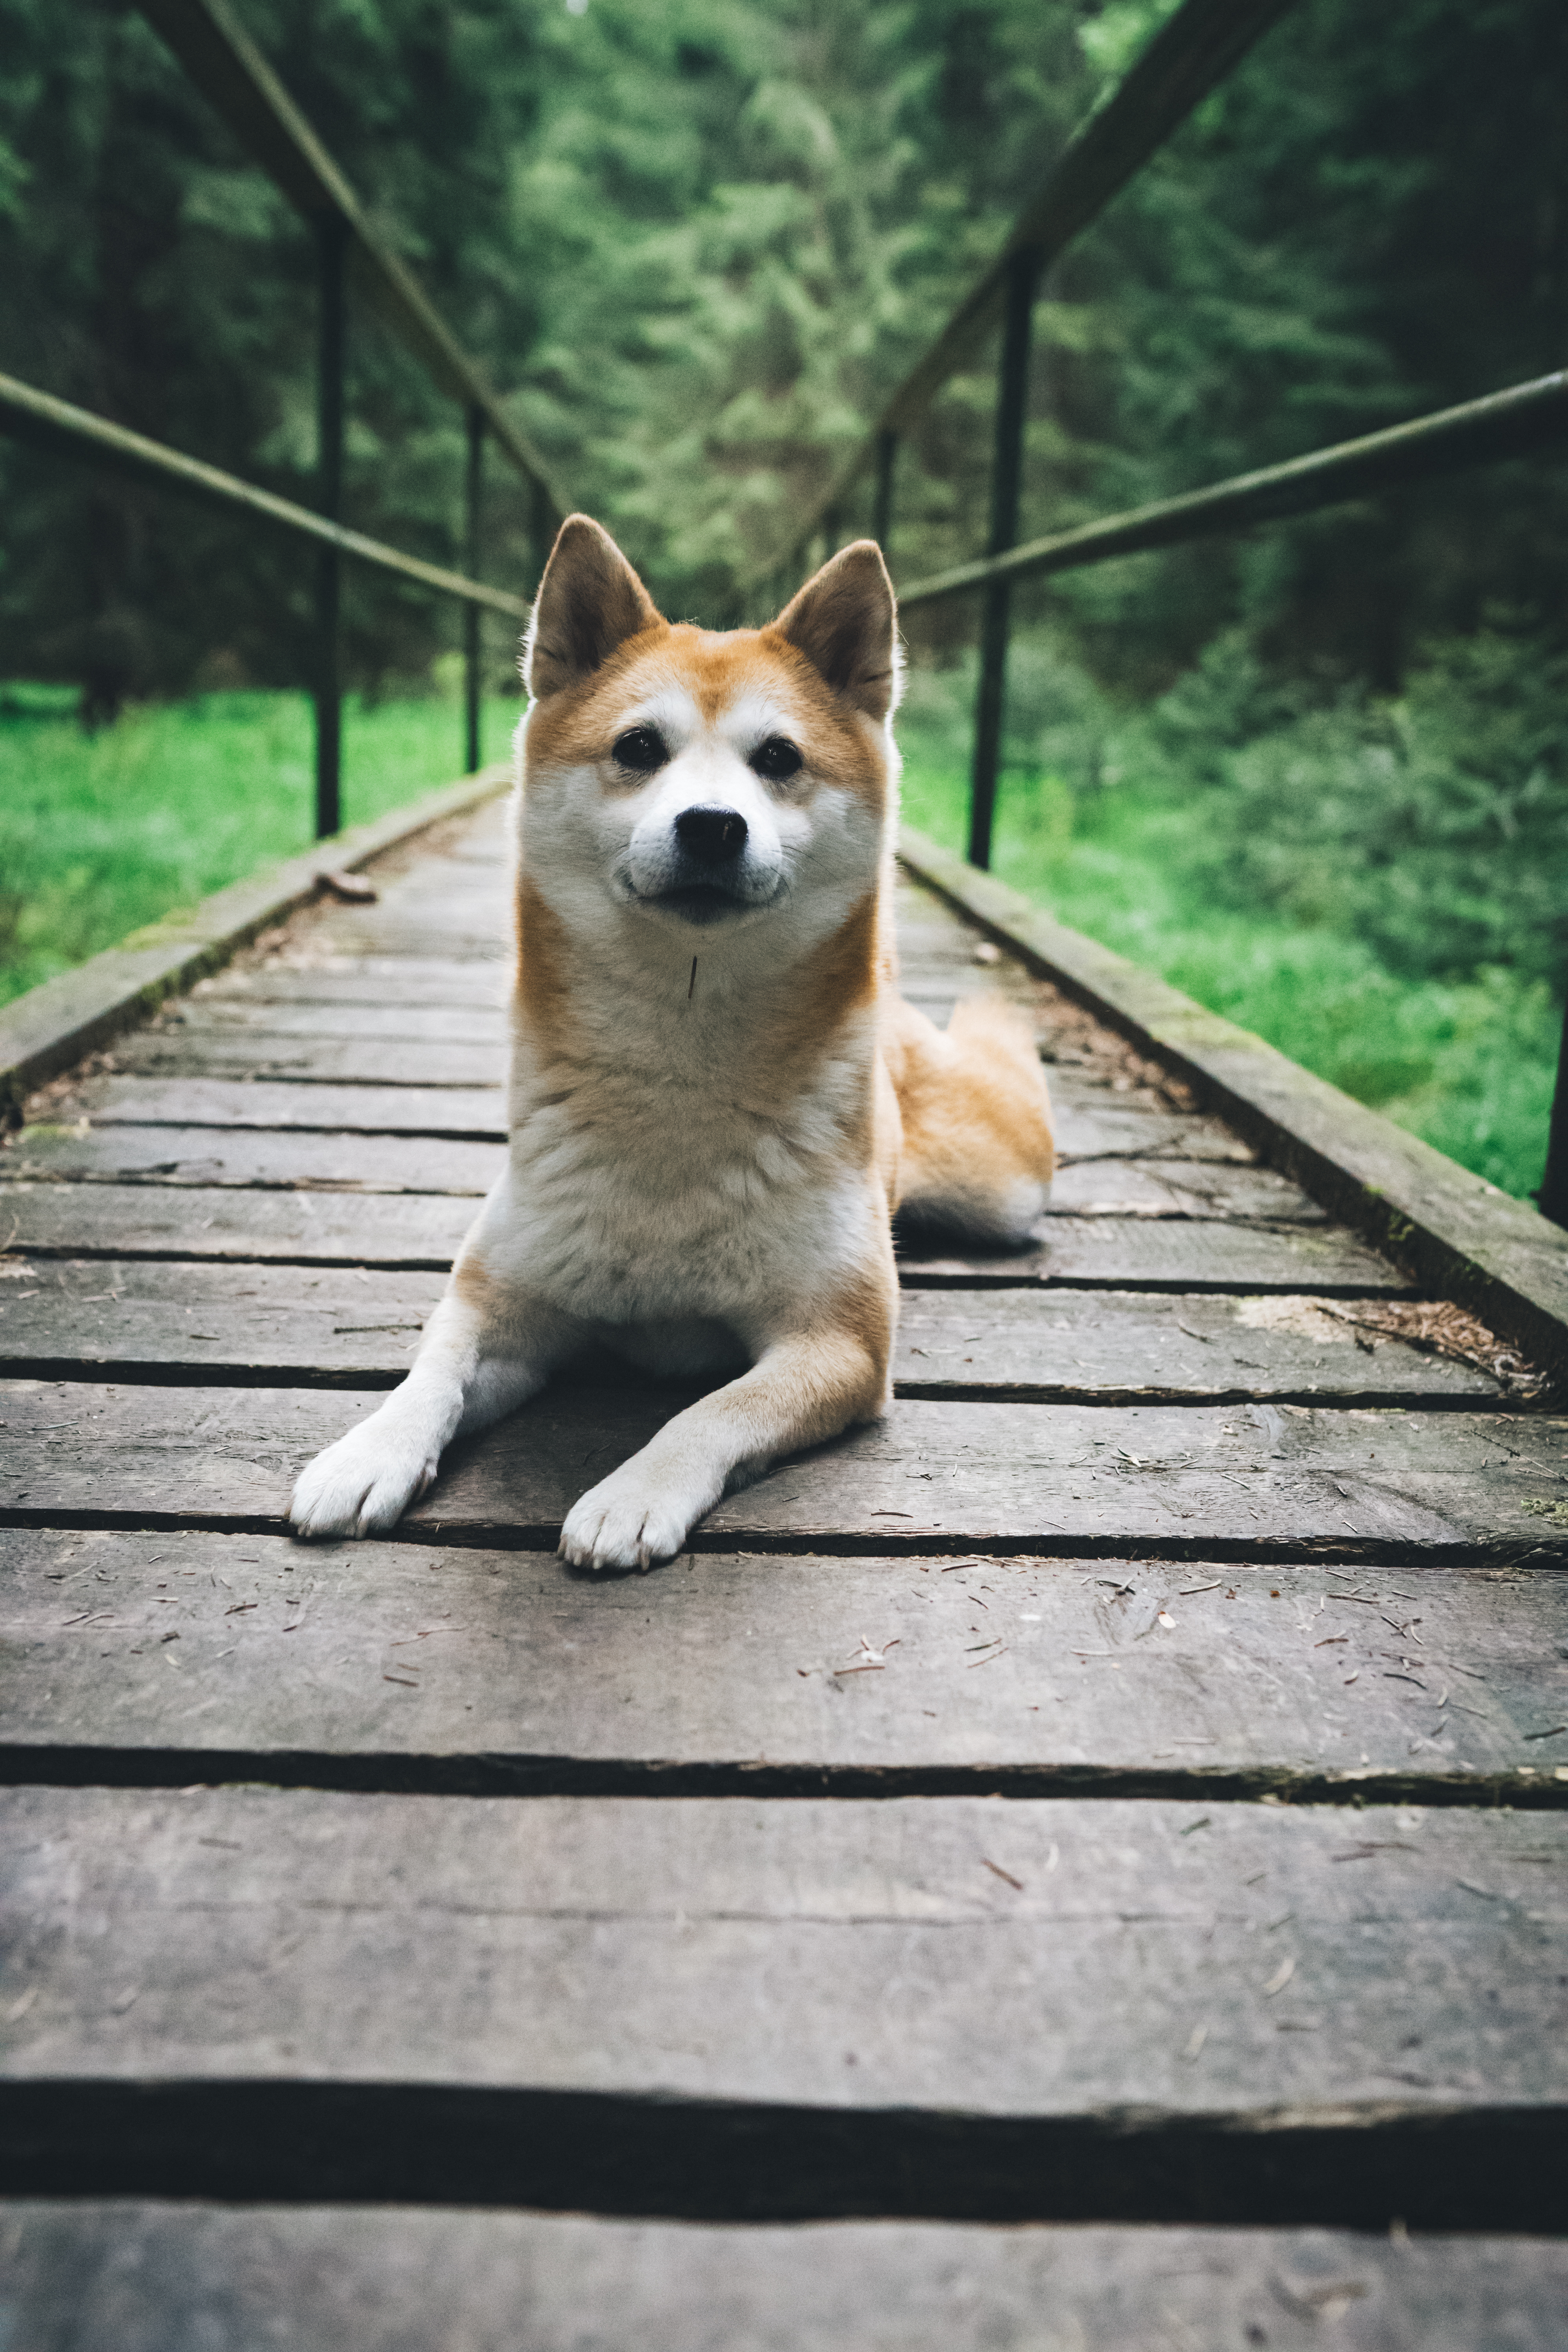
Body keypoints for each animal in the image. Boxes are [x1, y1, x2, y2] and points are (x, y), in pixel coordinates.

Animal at [291, 524, 1053, 1571]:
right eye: (638, 748)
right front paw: (368, 1452)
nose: (712, 826)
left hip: (1003, 1193)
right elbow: (430, 1374)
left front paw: (632, 1494)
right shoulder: (499, 1300)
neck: (677, 1082)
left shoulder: (838, 1341)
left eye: (778, 758)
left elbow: (708, 1412)